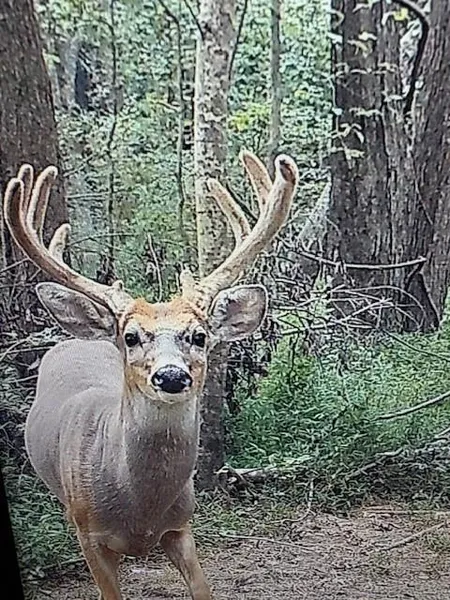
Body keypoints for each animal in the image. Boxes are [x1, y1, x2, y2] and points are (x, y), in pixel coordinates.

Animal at [3, 150, 298, 600]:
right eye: (130, 336)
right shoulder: (90, 538)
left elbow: (202, 589)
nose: (171, 376)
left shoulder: (181, 526)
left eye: (198, 335)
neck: (139, 510)